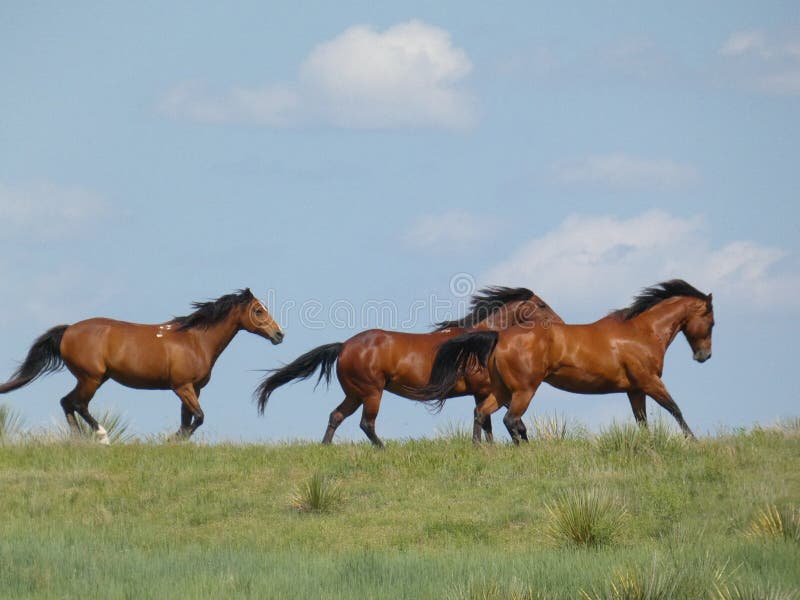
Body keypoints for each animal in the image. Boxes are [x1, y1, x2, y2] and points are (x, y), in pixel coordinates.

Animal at [0, 288, 284, 442]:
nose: (279, 335)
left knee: (67, 402)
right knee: (78, 404)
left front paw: (176, 442)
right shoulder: (182, 387)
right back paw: (102, 436)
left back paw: (79, 439)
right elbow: (199, 417)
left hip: (93, 378)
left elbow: (188, 419)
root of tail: (69, 330)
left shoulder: (193, 389)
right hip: (91, 378)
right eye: (259, 310)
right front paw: (171, 439)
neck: (195, 340)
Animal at [256, 288, 564, 448]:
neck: (480, 341)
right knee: (366, 423)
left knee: (336, 416)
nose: (561, 323)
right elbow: (483, 418)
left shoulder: (488, 391)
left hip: (354, 393)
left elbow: (488, 419)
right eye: (541, 305)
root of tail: (344, 346)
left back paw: (326, 447)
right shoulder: (482, 390)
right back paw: (382, 449)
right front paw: (482, 446)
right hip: (372, 392)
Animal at [424, 278, 712, 442]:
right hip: (524, 390)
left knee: (482, 413)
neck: (640, 331)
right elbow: (675, 408)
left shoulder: (635, 389)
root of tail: (499, 335)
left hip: (503, 390)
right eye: (711, 321)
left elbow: (642, 421)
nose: (704, 356)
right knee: (511, 420)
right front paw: (693, 441)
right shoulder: (650, 381)